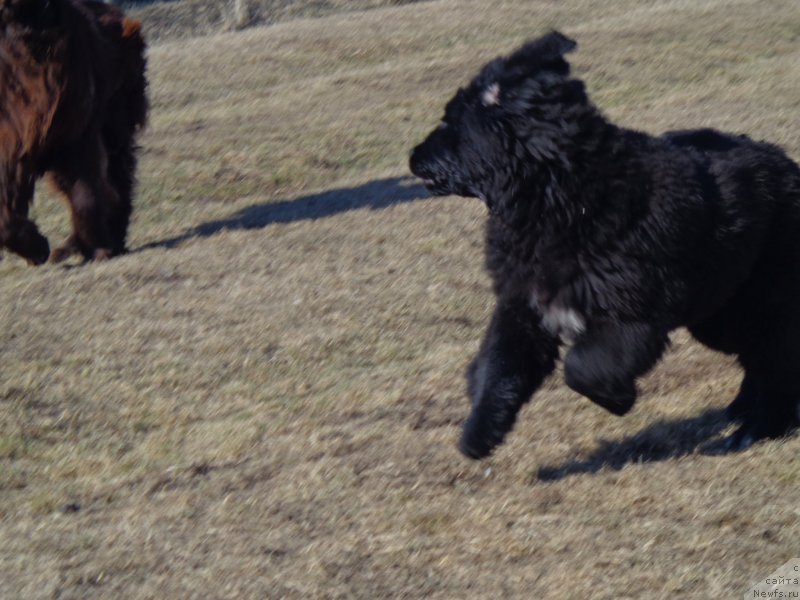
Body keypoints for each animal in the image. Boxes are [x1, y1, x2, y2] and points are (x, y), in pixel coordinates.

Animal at [0, 0, 146, 264]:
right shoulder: (13, 140)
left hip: (115, 123)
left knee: (117, 182)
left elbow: (86, 195)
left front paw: (99, 248)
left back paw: (107, 239)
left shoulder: (77, 135)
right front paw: (36, 247)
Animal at [410, 31, 800, 460]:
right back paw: (742, 408)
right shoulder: (523, 307)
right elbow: (498, 368)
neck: (556, 196)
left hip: (760, 303)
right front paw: (478, 434)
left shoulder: (629, 315)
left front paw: (619, 400)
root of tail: (786, 161)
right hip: (718, 310)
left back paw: (759, 427)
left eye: (450, 122)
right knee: (757, 359)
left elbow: (582, 368)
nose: (412, 157)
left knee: (776, 361)